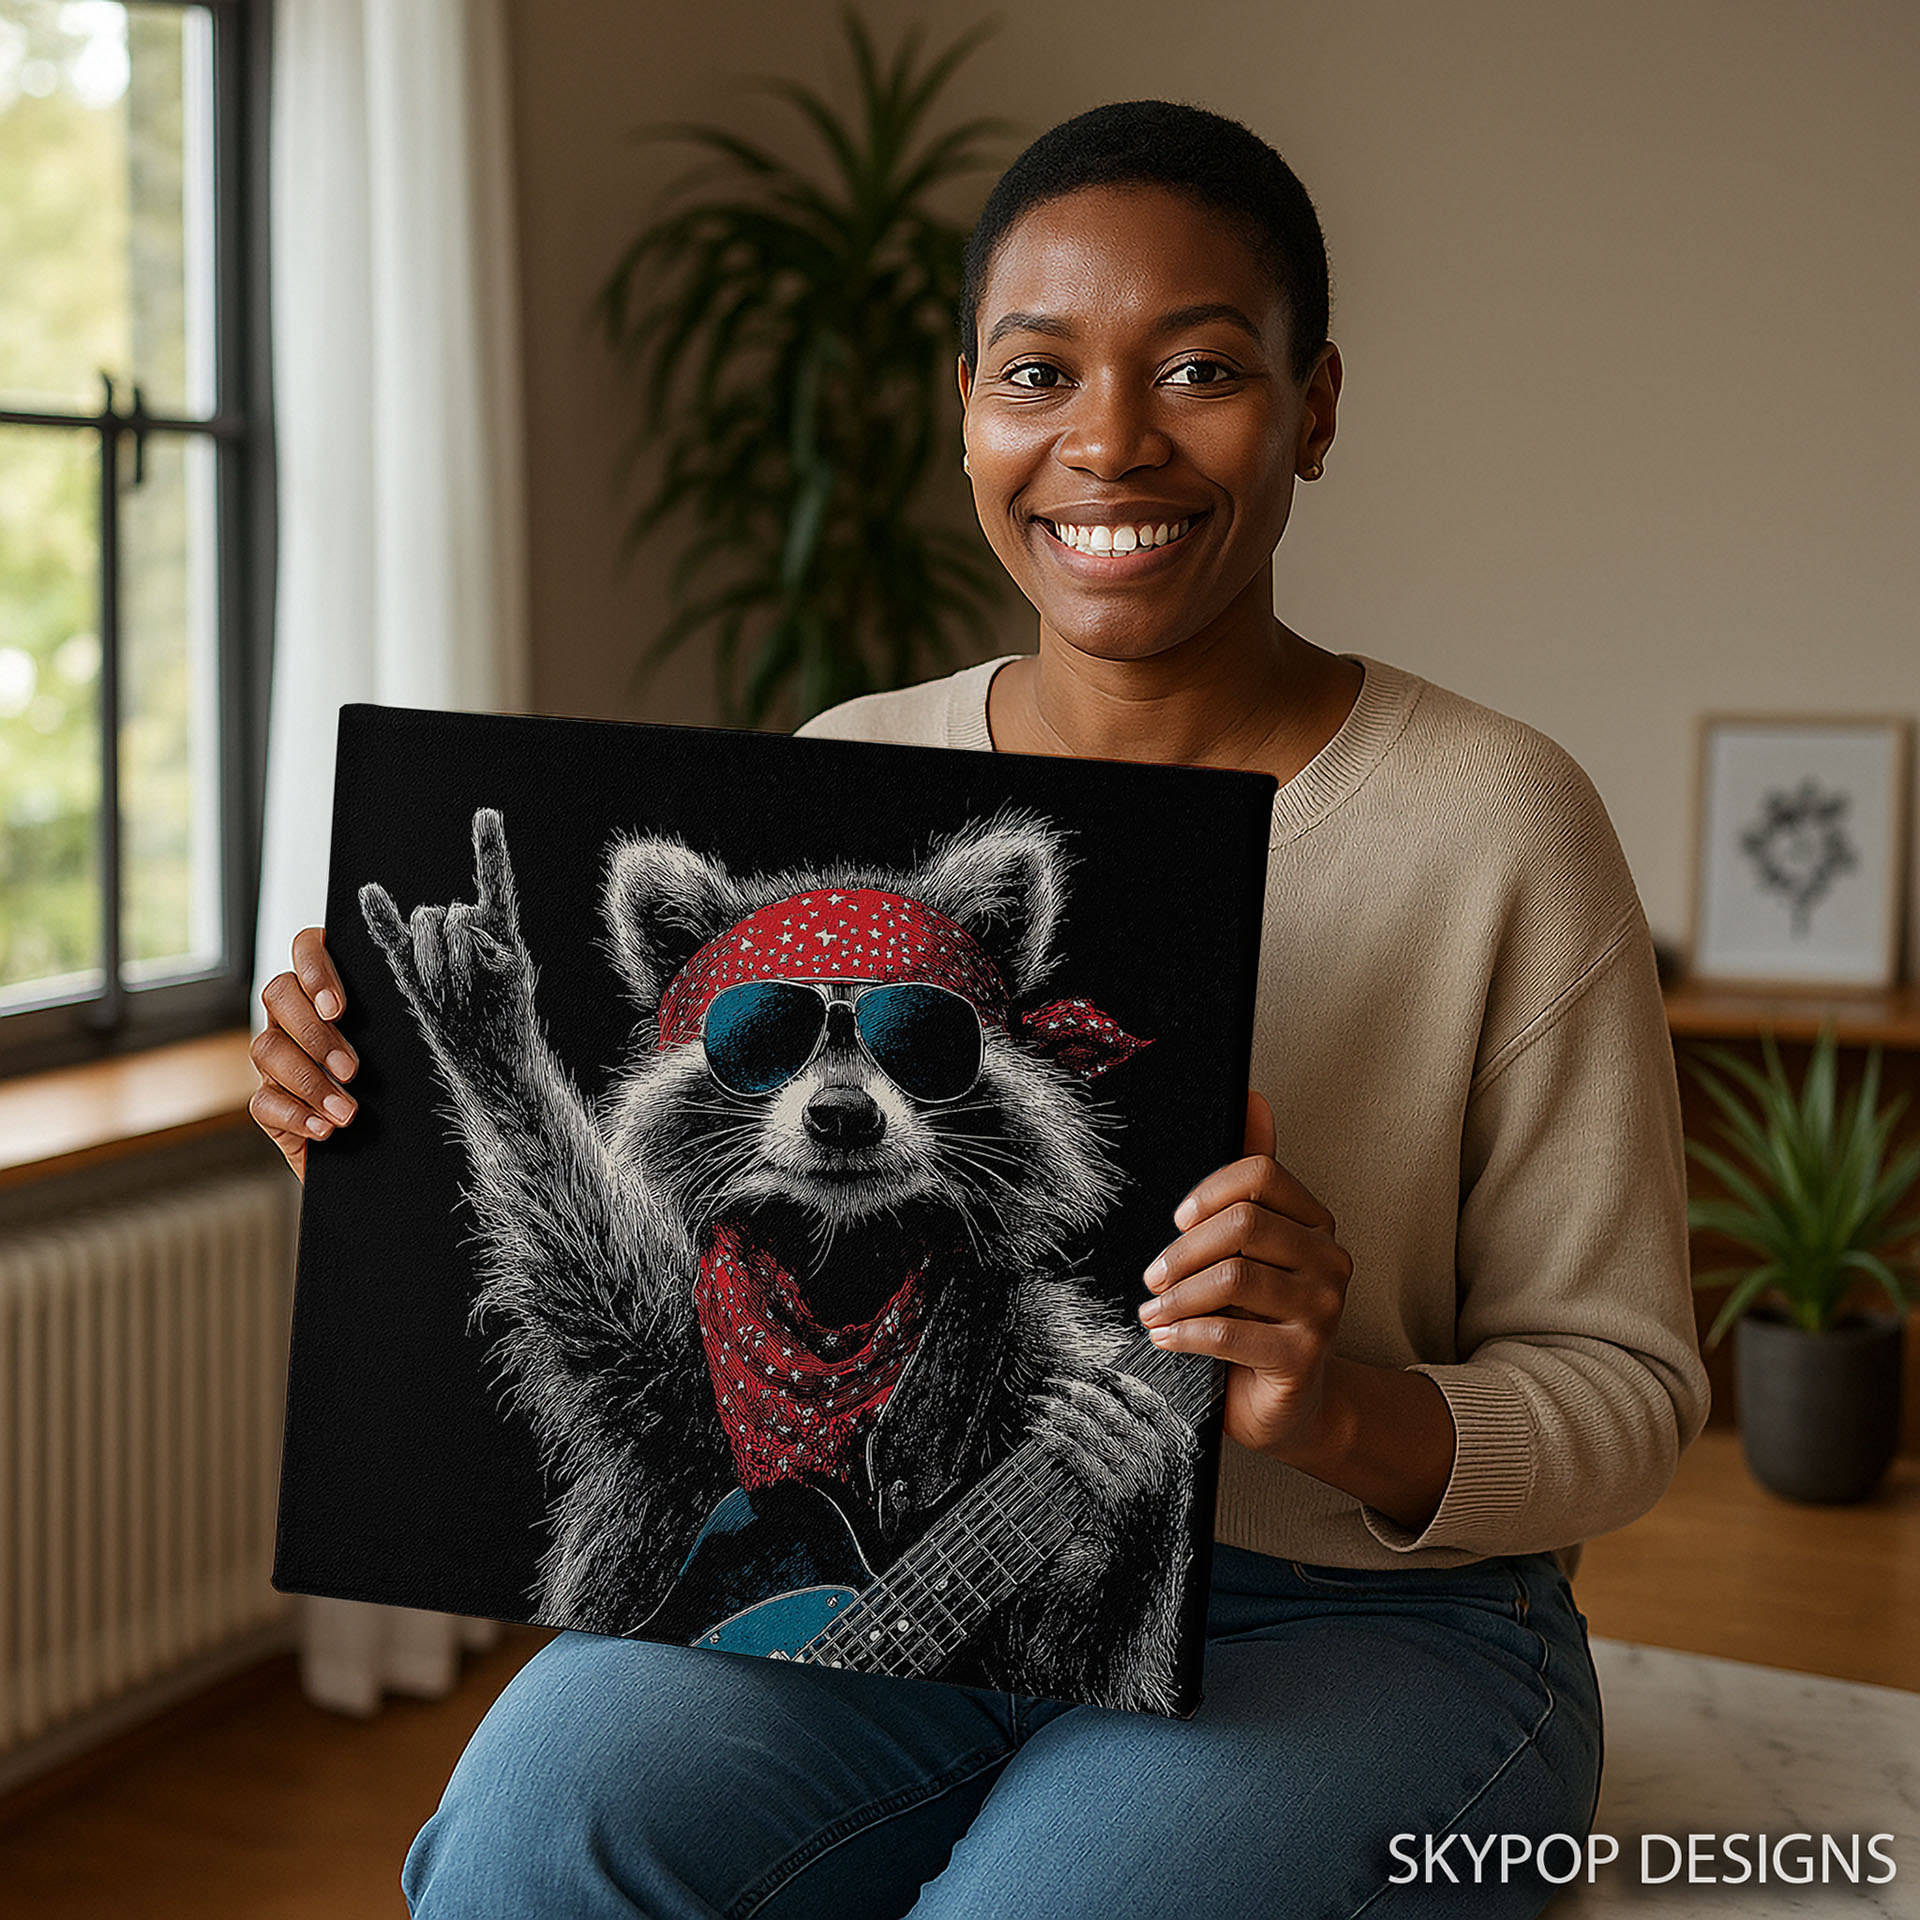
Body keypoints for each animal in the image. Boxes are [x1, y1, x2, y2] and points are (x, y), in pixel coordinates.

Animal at [359, 804, 1196, 1710]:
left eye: (920, 1034)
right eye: (763, 1031)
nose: (842, 1115)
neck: (840, 1264)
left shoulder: (1035, 1354)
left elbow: (1060, 1672)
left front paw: (1139, 1487)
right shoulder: (673, 1341)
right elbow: (581, 1259)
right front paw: (488, 1031)